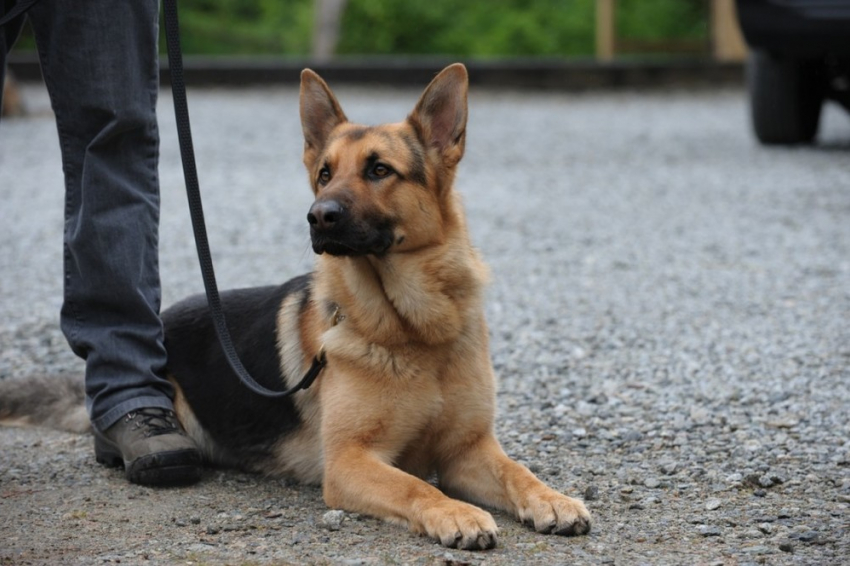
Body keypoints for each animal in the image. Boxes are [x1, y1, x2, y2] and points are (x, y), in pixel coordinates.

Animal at [0, 65, 588, 552]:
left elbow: (519, 472)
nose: (317, 216)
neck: (411, 329)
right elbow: (416, 486)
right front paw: (456, 513)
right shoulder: (350, 462)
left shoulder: (469, 449)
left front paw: (552, 498)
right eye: (325, 173)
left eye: (379, 170)